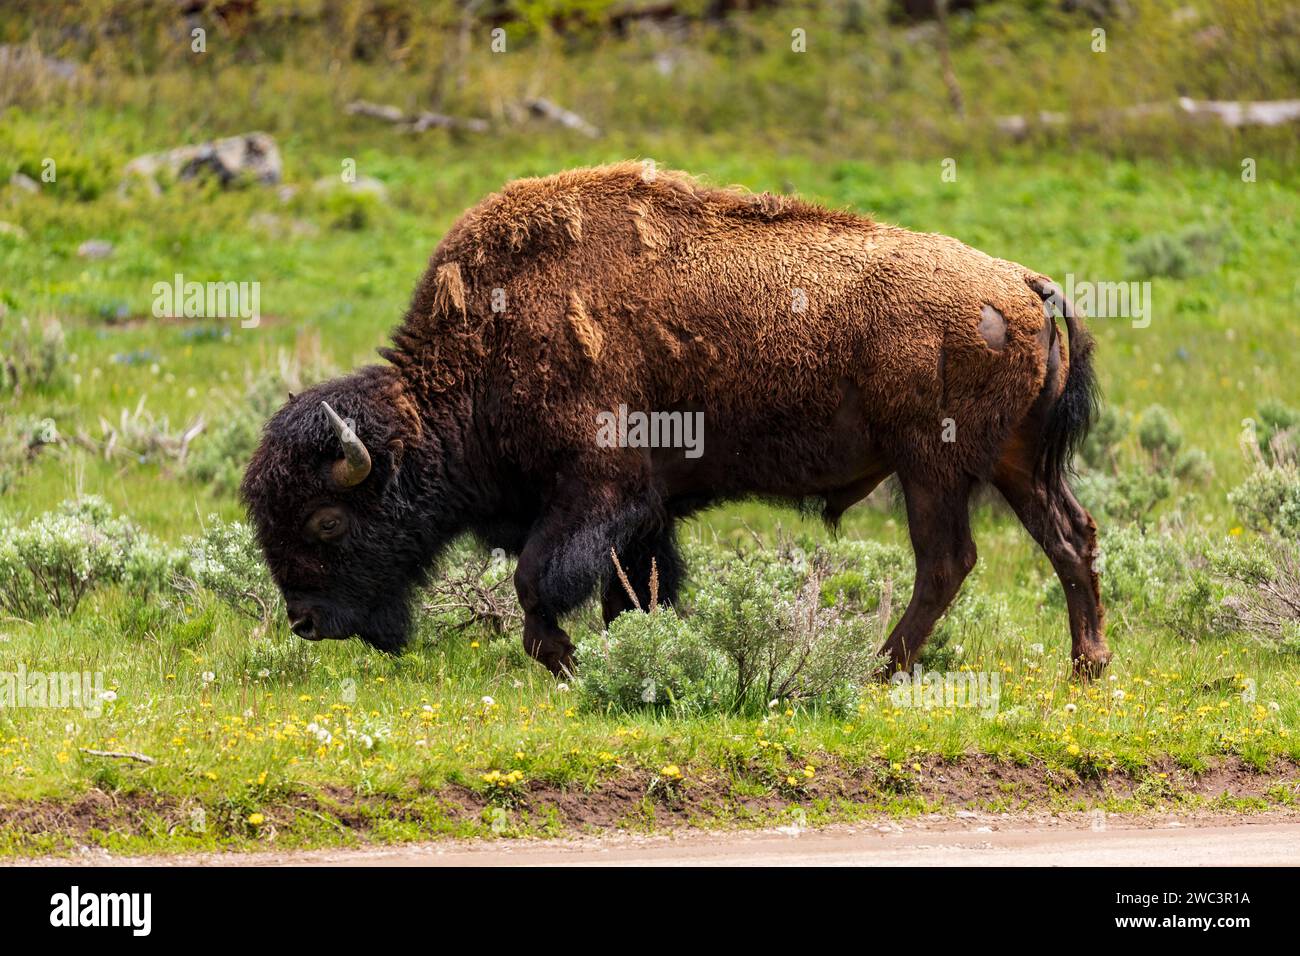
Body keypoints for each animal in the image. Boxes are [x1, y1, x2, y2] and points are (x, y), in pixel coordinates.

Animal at [241, 160, 1107, 676]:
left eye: (326, 520)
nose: (306, 622)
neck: (489, 339)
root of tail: (1022, 283)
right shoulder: (646, 512)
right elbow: (637, 587)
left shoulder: (598, 491)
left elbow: (539, 580)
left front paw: (566, 661)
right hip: (1015, 461)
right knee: (1070, 536)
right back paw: (1086, 664)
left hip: (934, 468)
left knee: (948, 561)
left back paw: (879, 669)